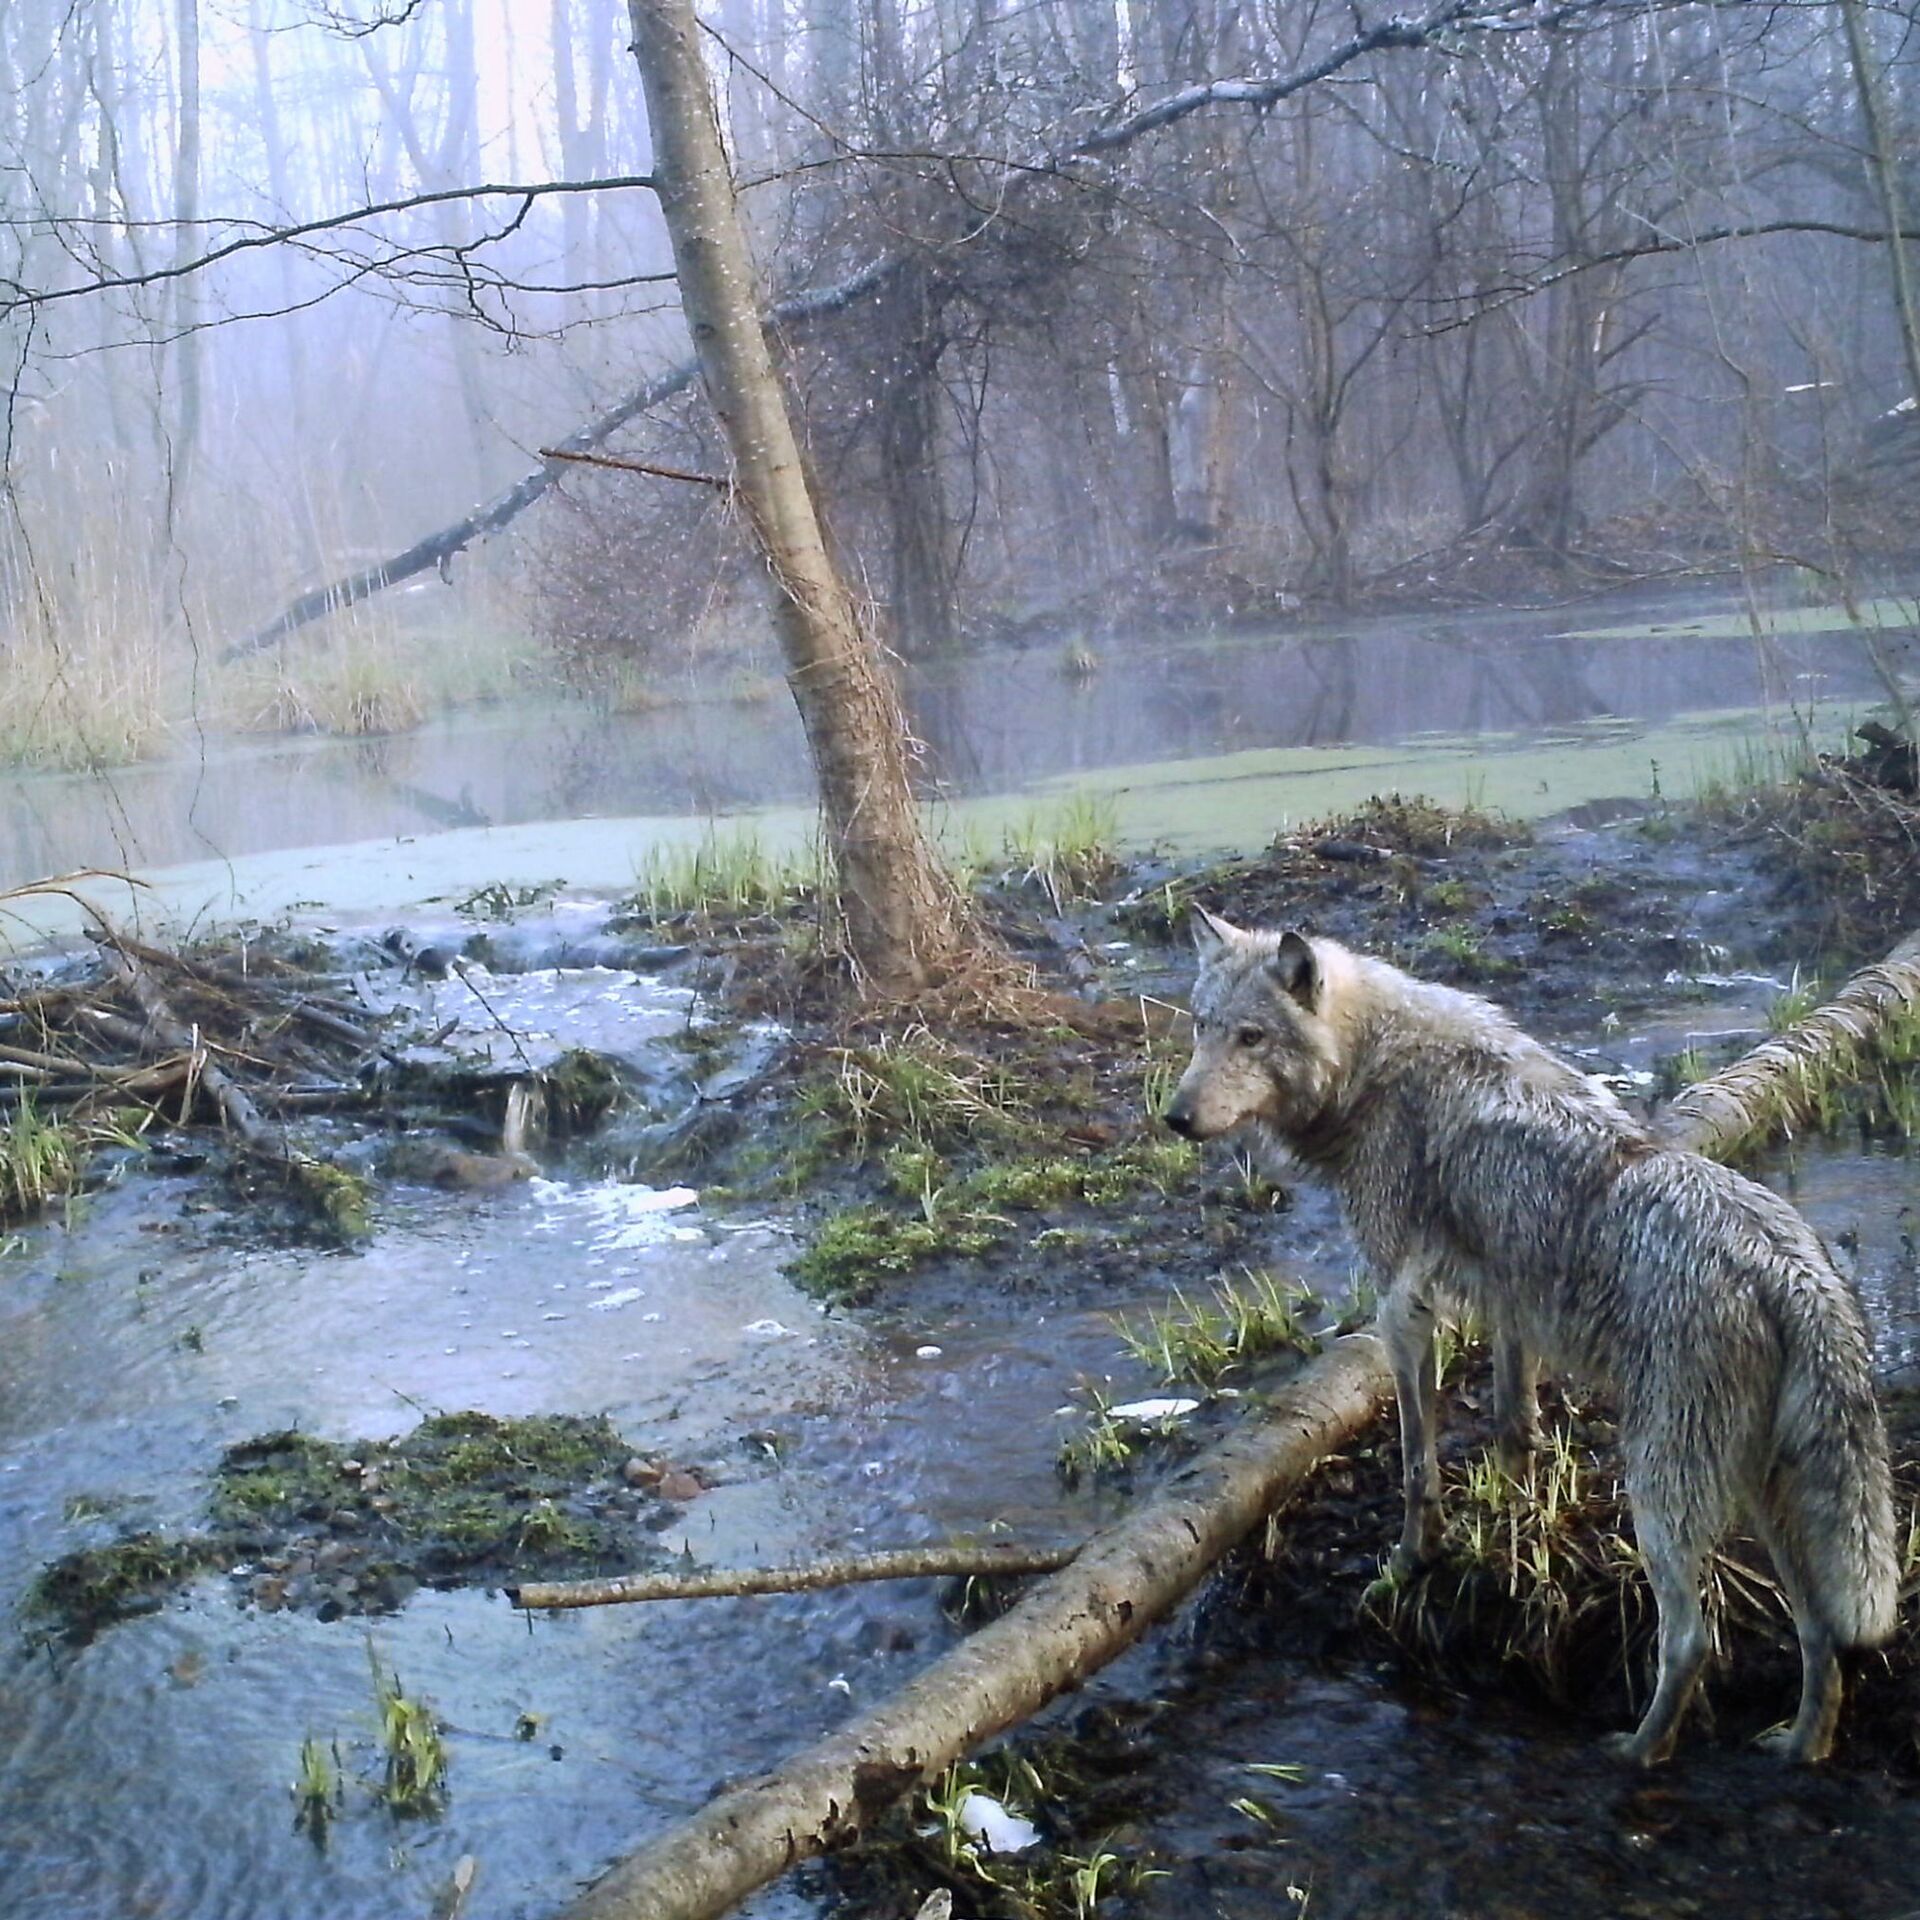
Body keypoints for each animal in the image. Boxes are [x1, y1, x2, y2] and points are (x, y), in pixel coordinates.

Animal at [1159, 913, 1896, 1766]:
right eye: (1202, 1028)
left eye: (1251, 1037)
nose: (1175, 1118)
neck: (1375, 1067)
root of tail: (1790, 1270)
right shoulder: (1509, 1302)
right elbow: (1515, 1428)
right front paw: (1509, 1532)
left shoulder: (1405, 1308)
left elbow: (1415, 1463)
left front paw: (1410, 1564)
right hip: (1761, 1494)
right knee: (1820, 1633)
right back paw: (1800, 1747)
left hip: (1664, 1497)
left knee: (1691, 1641)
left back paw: (1638, 1752)